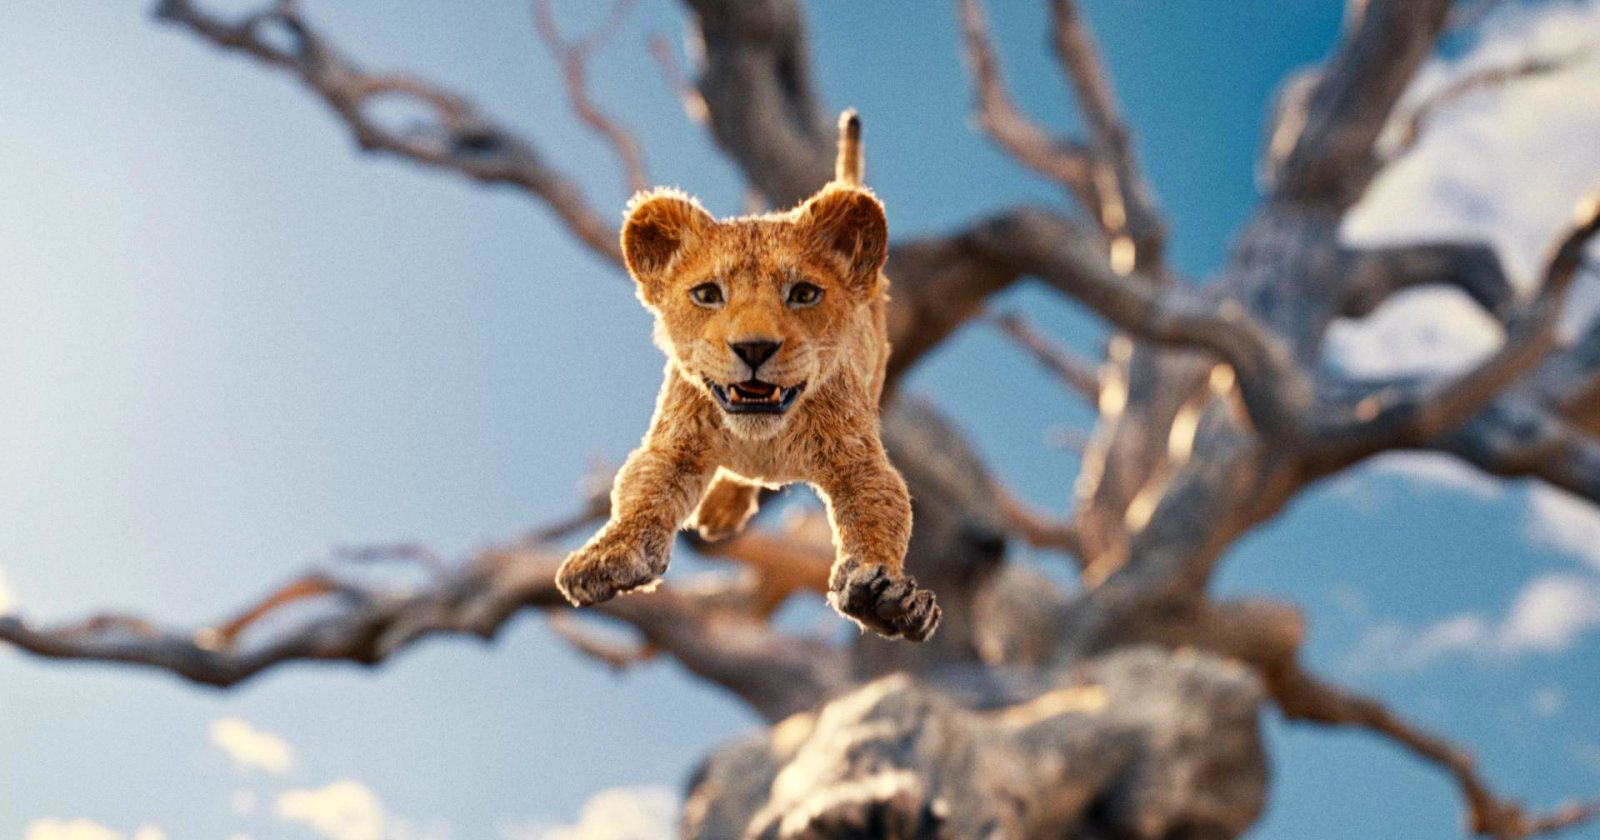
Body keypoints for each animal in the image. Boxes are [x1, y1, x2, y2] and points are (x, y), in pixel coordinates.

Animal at [554, 110, 941, 641]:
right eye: (707, 294)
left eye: (803, 294)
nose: (754, 347)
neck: (762, 437)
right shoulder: (674, 443)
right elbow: (641, 493)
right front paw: (607, 555)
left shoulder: (858, 460)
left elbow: (880, 512)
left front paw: (882, 596)